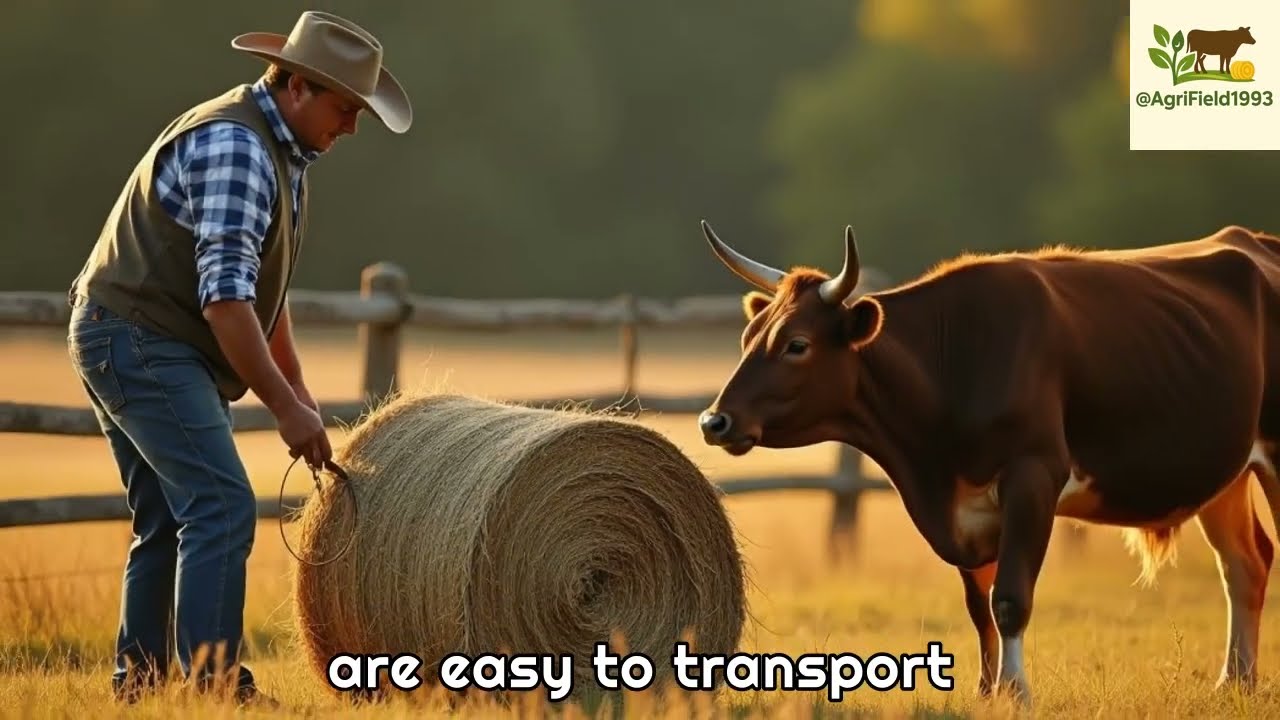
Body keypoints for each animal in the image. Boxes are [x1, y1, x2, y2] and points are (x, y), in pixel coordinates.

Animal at [694, 220, 1280, 705]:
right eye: (748, 337)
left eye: (797, 344)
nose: (714, 421)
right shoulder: (962, 510)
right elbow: (980, 609)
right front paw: (985, 689)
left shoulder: (1033, 477)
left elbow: (1010, 599)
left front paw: (1016, 690)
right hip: (1223, 475)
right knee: (1245, 564)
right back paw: (1235, 682)